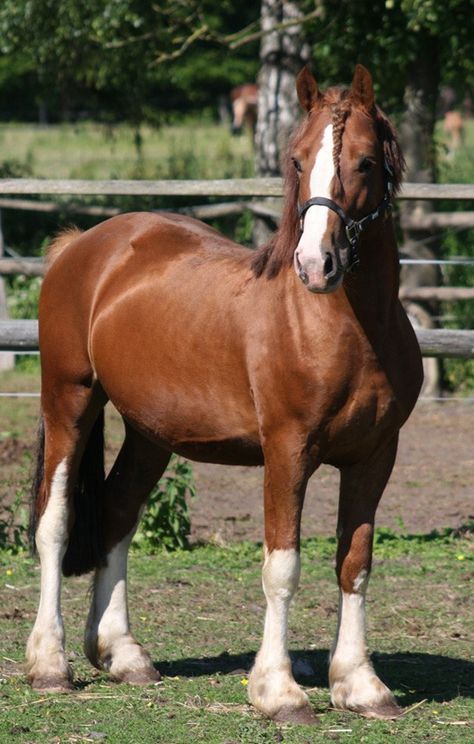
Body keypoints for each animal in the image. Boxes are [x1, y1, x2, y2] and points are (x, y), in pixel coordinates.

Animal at [27, 67, 422, 724]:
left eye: (366, 162)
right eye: (296, 160)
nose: (316, 264)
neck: (344, 328)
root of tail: (81, 245)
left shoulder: (376, 457)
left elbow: (356, 563)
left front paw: (361, 685)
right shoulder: (287, 452)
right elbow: (282, 567)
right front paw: (279, 691)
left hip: (150, 433)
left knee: (117, 512)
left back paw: (123, 655)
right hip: (69, 401)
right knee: (54, 522)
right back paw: (49, 663)